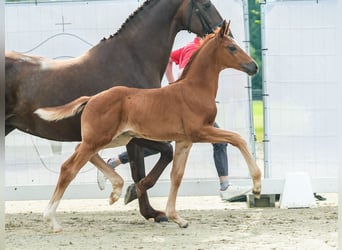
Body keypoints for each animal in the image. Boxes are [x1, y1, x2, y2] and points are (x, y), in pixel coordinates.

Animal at [5, 0, 224, 223]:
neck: (134, 58)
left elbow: (143, 166)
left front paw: (147, 209)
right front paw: (139, 199)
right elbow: (157, 158)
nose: (223, 31)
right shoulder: (136, 134)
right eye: (206, 5)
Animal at [34, 20, 260, 231]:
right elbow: (238, 139)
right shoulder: (200, 131)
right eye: (232, 47)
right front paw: (257, 187)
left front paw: (177, 218)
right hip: (99, 139)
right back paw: (52, 220)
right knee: (68, 168)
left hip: (115, 138)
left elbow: (176, 176)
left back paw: (116, 190)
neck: (194, 89)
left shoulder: (184, 141)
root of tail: (90, 99)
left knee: (81, 152)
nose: (254, 66)